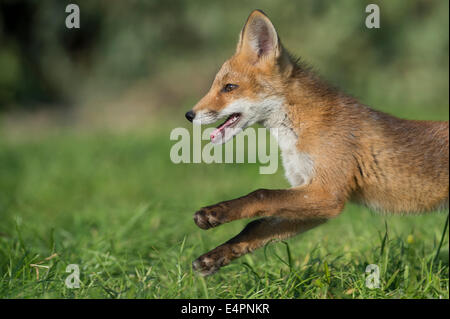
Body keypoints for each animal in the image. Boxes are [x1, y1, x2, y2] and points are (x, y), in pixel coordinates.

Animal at [185, 8, 448, 276]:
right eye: (216, 86)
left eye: (229, 87)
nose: (190, 115)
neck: (302, 129)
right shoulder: (312, 196)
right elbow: (255, 226)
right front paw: (212, 258)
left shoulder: (328, 194)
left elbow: (261, 195)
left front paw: (214, 213)